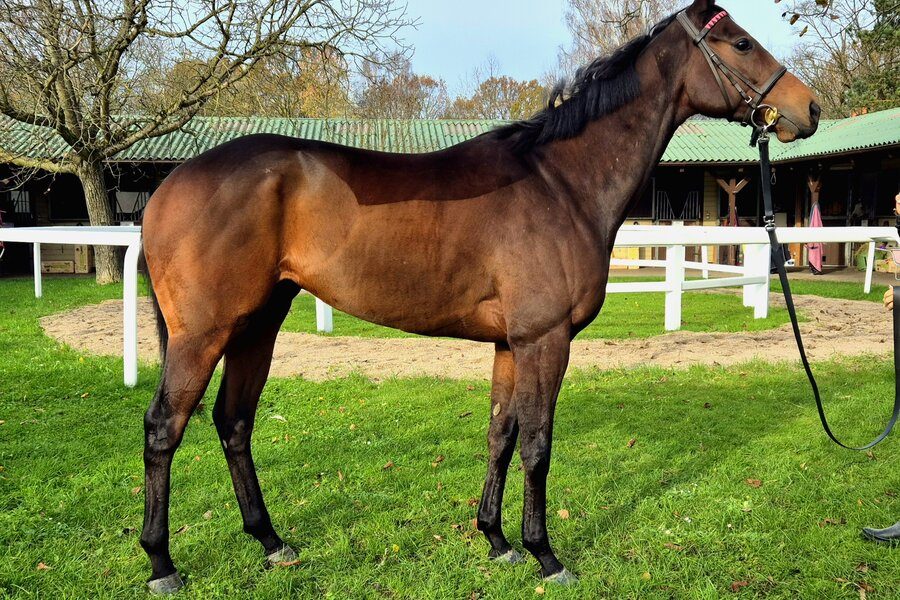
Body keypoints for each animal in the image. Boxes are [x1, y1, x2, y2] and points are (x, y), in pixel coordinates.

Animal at [139, 0, 820, 592]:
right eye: (741, 43)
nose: (808, 107)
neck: (562, 184)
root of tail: (170, 185)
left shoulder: (510, 344)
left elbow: (502, 434)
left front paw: (496, 540)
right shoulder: (545, 340)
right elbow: (538, 444)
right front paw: (546, 554)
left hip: (259, 324)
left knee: (233, 421)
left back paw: (271, 541)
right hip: (205, 334)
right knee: (164, 428)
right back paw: (162, 562)